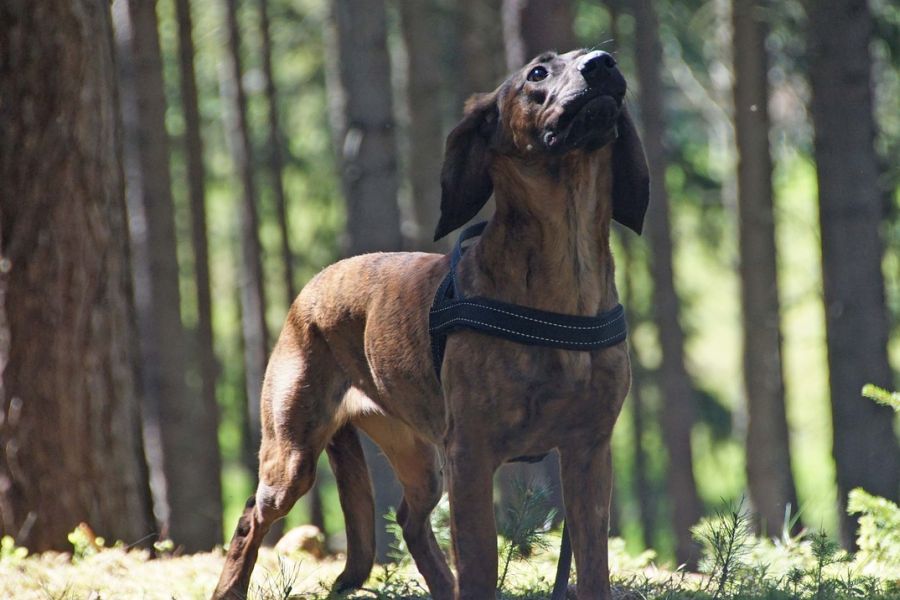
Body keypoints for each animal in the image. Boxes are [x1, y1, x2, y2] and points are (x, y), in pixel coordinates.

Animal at [211, 48, 648, 600]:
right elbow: (480, 567)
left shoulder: (589, 453)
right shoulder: (471, 457)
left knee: (410, 519)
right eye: (538, 72)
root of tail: (308, 291)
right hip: (292, 457)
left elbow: (591, 568)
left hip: (417, 456)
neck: (566, 276)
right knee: (251, 517)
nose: (602, 63)